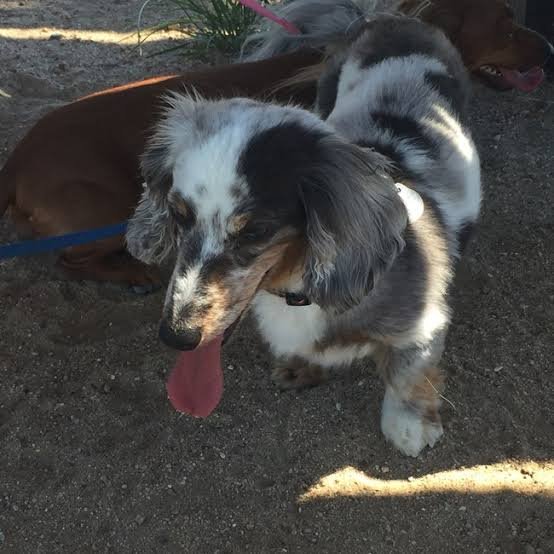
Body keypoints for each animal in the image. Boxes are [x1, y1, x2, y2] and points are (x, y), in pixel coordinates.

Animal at [128, 10, 478, 454]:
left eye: (256, 231)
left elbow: (408, 370)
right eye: (178, 213)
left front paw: (410, 424)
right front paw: (303, 368)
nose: (177, 337)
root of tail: (391, 18)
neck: (298, 290)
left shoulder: (424, 323)